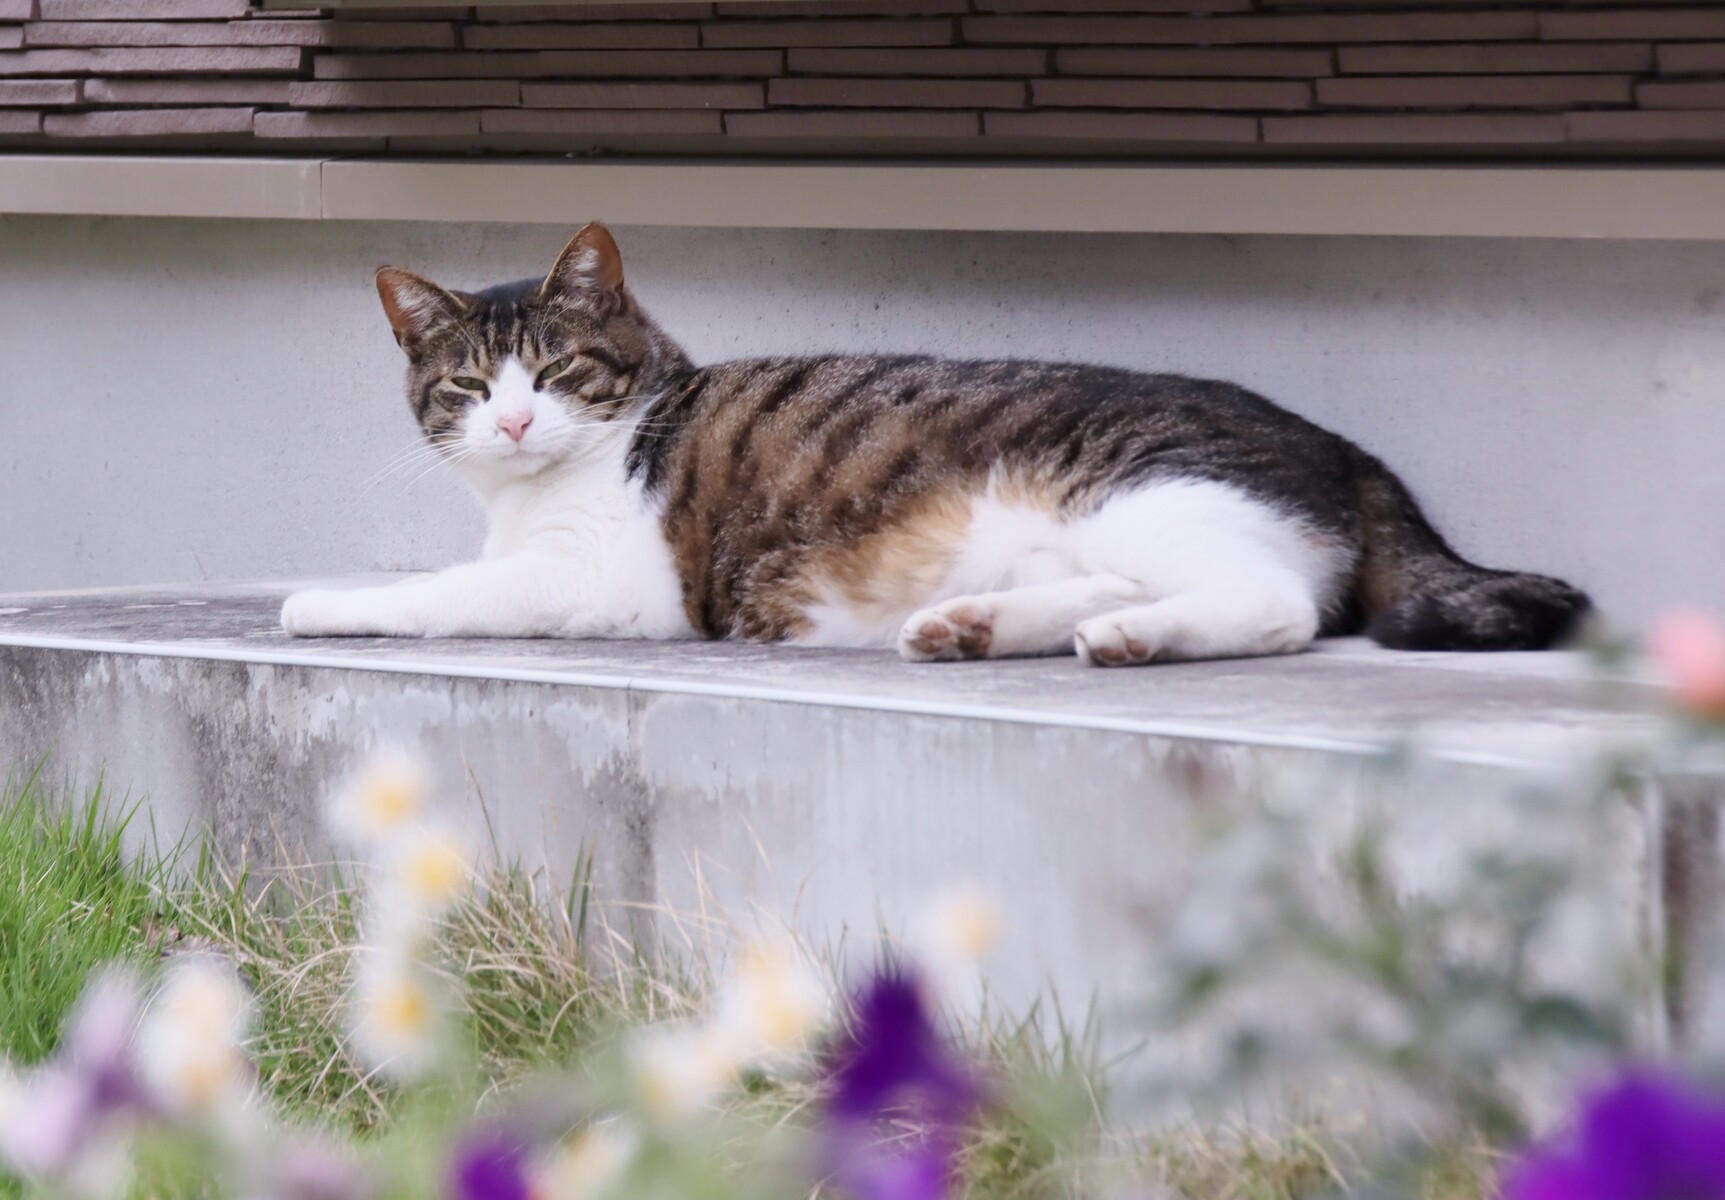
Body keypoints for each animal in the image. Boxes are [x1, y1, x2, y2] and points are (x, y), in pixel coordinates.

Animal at [280, 224, 1590, 666]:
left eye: (555, 376)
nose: (511, 421)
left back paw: (1130, 642)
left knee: (1277, 608)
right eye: (467, 386)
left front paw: (322, 600)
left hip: (1148, 491)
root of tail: (1350, 448)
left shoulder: (593, 579)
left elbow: (442, 590)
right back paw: (978, 628)